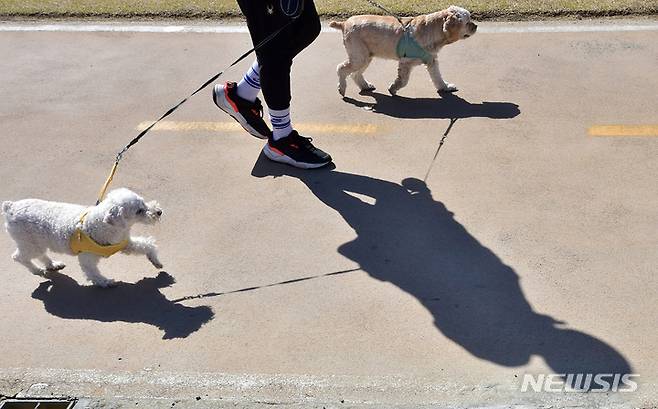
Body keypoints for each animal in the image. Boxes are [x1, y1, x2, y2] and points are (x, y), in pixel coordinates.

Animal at [2, 186, 163, 286]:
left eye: (143, 202)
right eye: (138, 211)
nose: (159, 212)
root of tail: (10, 207)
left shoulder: (124, 244)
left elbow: (146, 245)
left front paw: (155, 260)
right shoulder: (87, 257)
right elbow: (93, 273)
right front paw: (105, 282)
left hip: (37, 241)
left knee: (41, 255)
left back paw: (52, 264)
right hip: (28, 242)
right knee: (19, 257)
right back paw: (36, 270)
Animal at [328, 5, 476, 96]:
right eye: (467, 22)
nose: (475, 26)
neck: (431, 28)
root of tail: (344, 23)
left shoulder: (431, 60)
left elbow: (437, 77)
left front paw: (445, 87)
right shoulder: (406, 62)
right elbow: (403, 80)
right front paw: (393, 88)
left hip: (365, 56)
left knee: (355, 74)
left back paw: (365, 86)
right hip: (359, 56)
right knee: (341, 69)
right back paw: (342, 88)